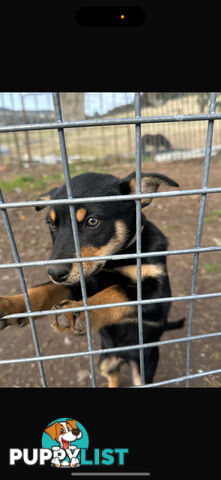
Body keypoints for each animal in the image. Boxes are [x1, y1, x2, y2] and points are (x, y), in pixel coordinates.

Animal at [0, 172, 185, 386]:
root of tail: (122, 357)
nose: (55, 273)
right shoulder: (83, 281)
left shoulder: (159, 295)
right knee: (113, 377)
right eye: (51, 224)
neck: (116, 259)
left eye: (92, 221)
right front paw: (13, 304)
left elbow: (117, 290)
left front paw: (75, 312)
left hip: (144, 370)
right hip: (105, 362)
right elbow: (46, 289)